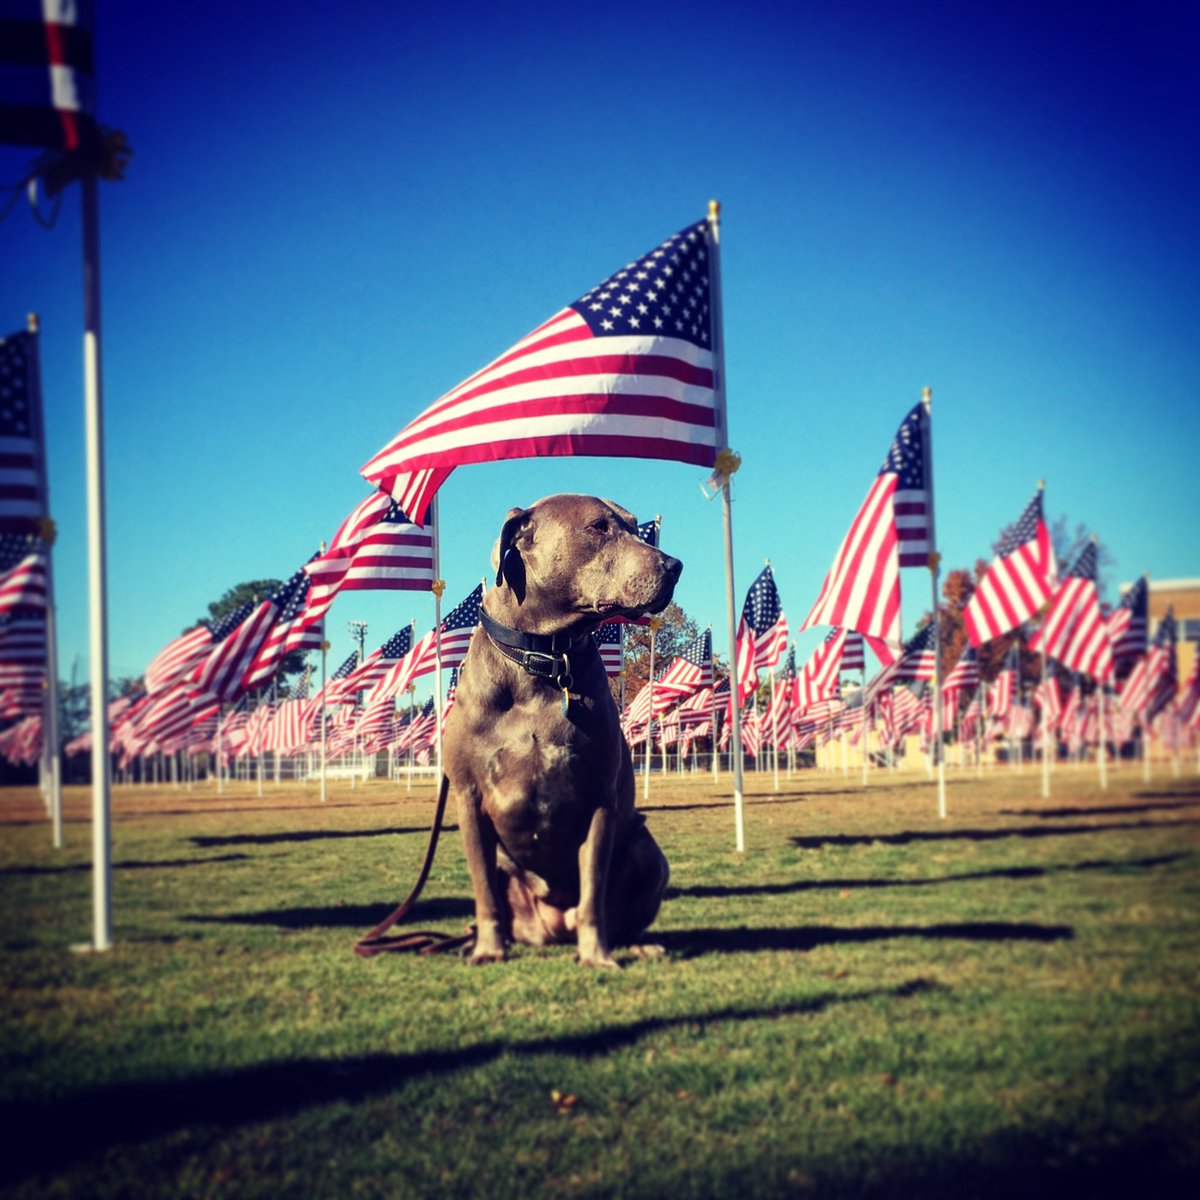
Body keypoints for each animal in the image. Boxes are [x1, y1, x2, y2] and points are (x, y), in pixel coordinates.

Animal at [442, 494, 681, 967]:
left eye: (632, 526)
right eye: (598, 527)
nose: (674, 565)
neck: (544, 658)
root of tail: (552, 932)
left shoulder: (600, 800)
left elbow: (592, 892)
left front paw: (597, 955)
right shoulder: (469, 799)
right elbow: (484, 892)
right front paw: (489, 950)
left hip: (646, 850)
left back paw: (637, 945)